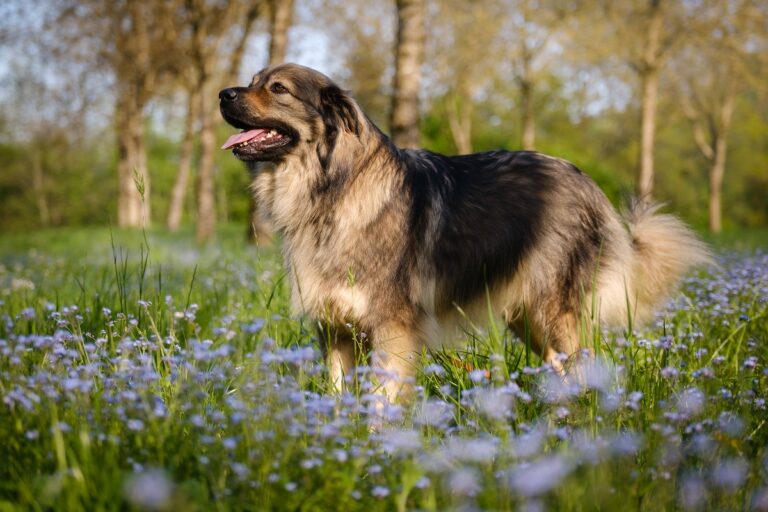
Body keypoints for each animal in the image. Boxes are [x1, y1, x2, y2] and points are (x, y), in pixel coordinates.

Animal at [219, 64, 712, 400]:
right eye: (254, 79)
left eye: (277, 89)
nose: (223, 93)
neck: (332, 188)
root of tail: (587, 182)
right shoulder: (334, 327)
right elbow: (337, 396)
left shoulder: (392, 328)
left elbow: (382, 400)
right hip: (527, 318)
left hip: (555, 313)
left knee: (583, 369)